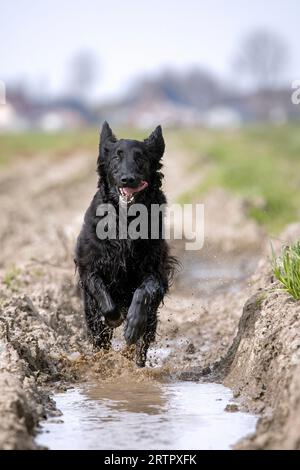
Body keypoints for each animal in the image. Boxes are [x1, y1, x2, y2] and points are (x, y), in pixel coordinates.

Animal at [74, 122, 176, 368]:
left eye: (140, 157)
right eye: (116, 157)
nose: (127, 179)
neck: (126, 220)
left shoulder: (156, 272)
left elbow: (143, 292)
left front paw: (132, 325)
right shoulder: (89, 267)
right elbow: (102, 294)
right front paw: (115, 317)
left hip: (152, 319)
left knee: (142, 344)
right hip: (91, 314)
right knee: (100, 340)